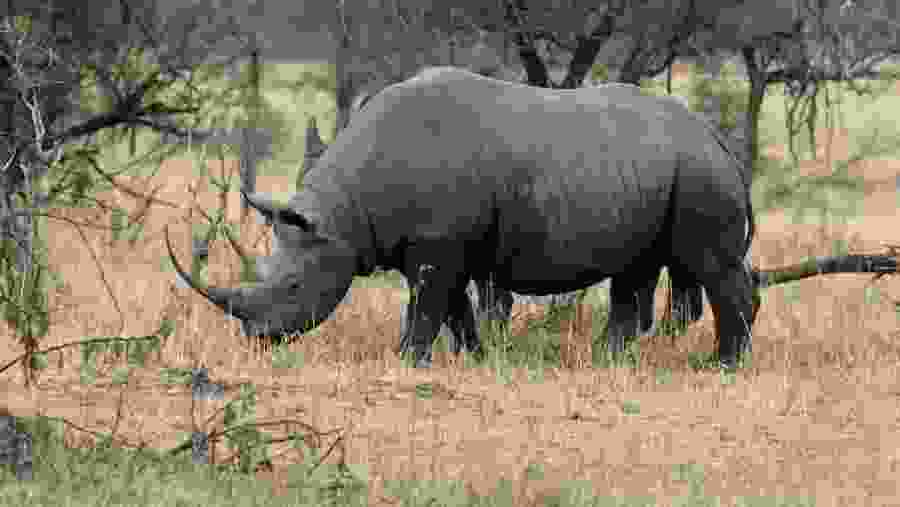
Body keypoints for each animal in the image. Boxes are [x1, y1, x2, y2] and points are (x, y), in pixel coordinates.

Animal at [167, 66, 756, 368]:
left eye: (292, 286)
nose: (256, 340)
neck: (343, 212)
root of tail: (718, 139)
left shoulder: (436, 244)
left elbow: (428, 304)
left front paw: (406, 361)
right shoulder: (434, 244)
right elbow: (452, 308)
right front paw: (471, 357)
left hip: (698, 170)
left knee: (709, 265)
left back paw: (724, 367)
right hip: (656, 168)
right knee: (636, 271)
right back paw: (608, 362)